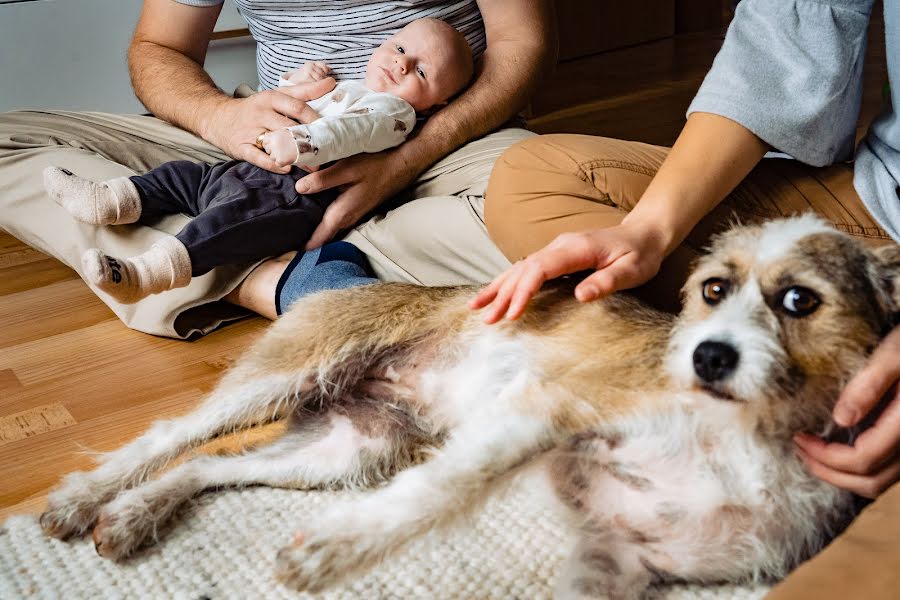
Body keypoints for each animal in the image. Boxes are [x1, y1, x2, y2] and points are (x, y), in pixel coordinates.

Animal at [40, 217, 900, 600]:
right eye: (713, 290)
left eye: (800, 300)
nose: (707, 356)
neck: (751, 438)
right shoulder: (551, 409)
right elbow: (444, 488)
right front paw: (338, 552)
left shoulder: (614, 558)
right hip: (289, 377)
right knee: (174, 434)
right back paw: (86, 500)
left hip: (349, 450)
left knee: (217, 467)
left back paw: (136, 514)